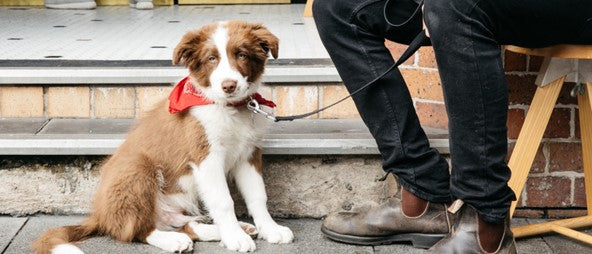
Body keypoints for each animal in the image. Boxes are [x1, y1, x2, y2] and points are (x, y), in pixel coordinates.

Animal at [33, 20, 292, 253]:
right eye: (211, 59)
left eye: (242, 55)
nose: (229, 86)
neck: (229, 107)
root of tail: (101, 216)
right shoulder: (206, 158)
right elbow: (223, 201)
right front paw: (234, 238)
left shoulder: (248, 153)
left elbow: (258, 195)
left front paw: (270, 229)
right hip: (138, 169)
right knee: (136, 231)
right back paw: (173, 240)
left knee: (187, 226)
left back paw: (231, 229)